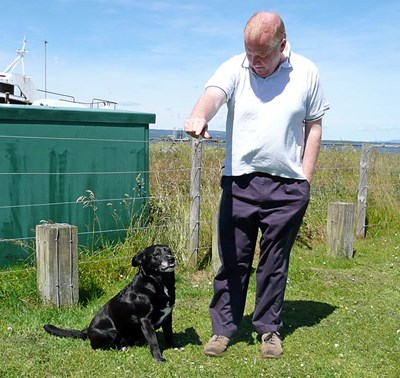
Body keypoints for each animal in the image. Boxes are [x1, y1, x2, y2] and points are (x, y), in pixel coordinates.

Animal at [43, 244, 176, 362]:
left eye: (169, 251)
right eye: (156, 255)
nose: (171, 258)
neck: (157, 284)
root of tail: (87, 331)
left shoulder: (168, 316)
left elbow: (169, 334)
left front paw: (174, 347)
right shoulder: (146, 320)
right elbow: (154, 342)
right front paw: (158, 359)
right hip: (112, 333)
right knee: (101, 348)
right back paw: (122, 348)